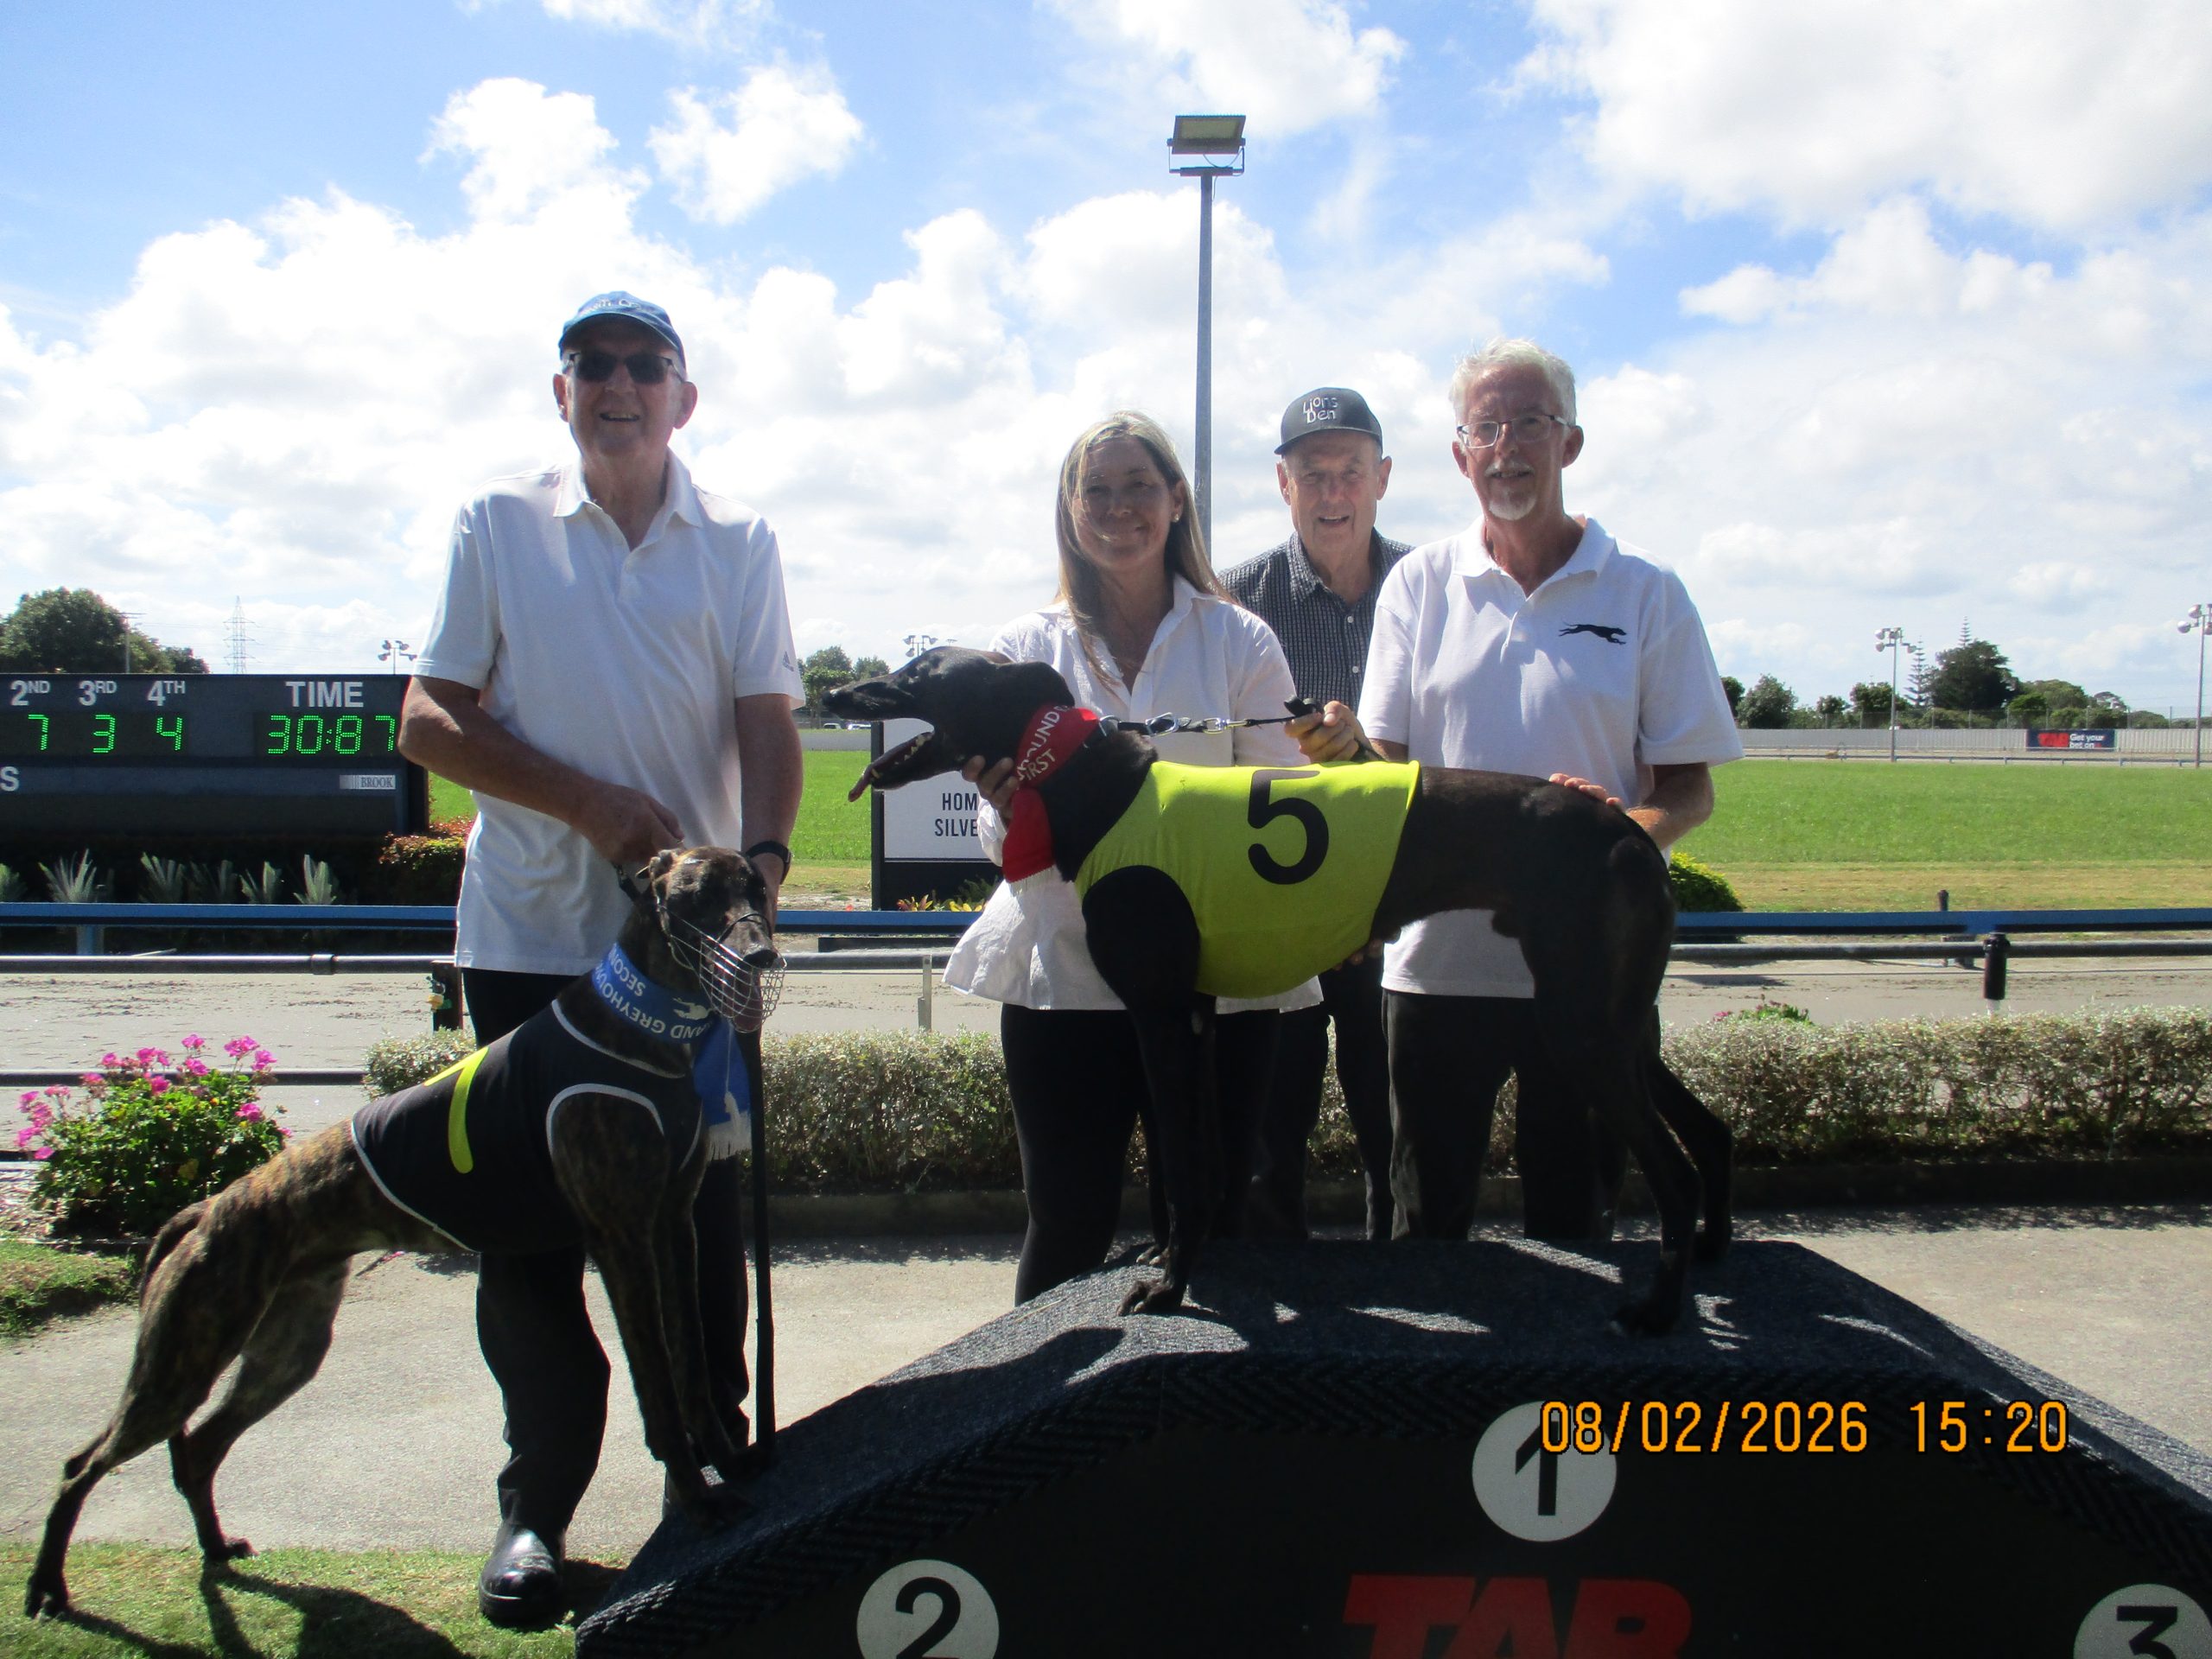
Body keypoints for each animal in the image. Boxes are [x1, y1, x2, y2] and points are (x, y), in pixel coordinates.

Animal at [24, 846, 782, 1621]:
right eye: (694, 897)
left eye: (755, 888)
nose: (760, 956)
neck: (642, 1030)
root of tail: (208, 1210)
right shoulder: (622, 1239)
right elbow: (657, 1390)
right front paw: (698, 1501)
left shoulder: (672, 1225)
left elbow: (693, 1371)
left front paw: (730, 1463)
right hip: (183, 1359)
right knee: (82, 1463)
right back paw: (48, 1584)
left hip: (283, 1350)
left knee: (197, 1448)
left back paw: (213, 1547)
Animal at [822, 647, 1731, 1335]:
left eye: (923, 670)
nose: (833, 692)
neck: (1101, 790)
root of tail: (1629, 833)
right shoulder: (1196, 1016)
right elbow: (1204, 1162)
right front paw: (1172, 1260)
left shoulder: (1161, 1017)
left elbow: (1186, 1164)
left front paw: (1170, 1286)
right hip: (1613, 1022)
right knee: (1710, 1131)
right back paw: (1711, 1251)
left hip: (1580, 1026)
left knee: (1676, 1170)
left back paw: (1657, 1309)